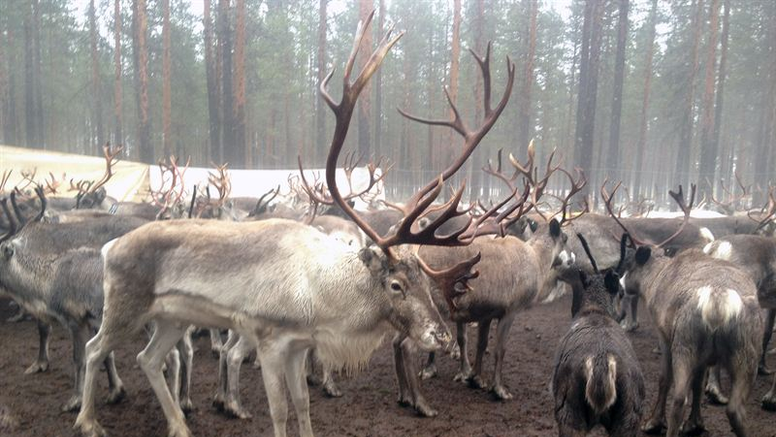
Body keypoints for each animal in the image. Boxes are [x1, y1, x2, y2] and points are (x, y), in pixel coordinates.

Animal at [556, 233, 644, 434]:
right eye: (621, 292)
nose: (622, 314)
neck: (595, 308)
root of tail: (601, 364)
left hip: (568, 413)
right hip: (629, 417)